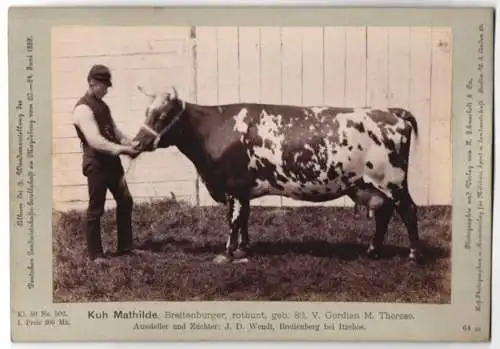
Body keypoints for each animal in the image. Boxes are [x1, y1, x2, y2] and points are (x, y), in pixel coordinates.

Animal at [133, 87, 422, 264]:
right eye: (147, 112)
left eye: (162, 115)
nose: (136, 142)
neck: (215, 128)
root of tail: (391, 112)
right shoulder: (243, 188)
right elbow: (244, 218)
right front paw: (244, 249)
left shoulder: (232, 185)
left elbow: (233, 220)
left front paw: (227, 253)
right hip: (369, 184)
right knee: (384, 212)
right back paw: (373, 251)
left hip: (393, 180)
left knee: (408, 210)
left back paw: (413, 256)